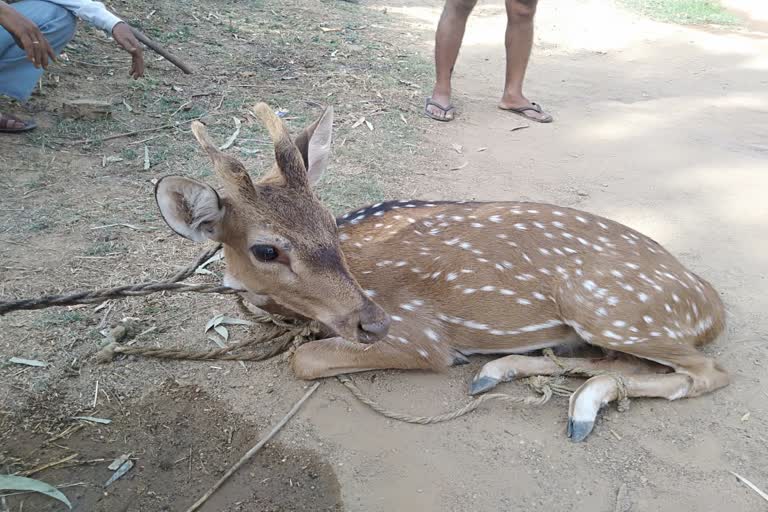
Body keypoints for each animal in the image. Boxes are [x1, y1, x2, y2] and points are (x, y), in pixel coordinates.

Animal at [154, 103, 728, 440]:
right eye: (266, 250)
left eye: (328, 220)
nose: (372, 321)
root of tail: (711, 302)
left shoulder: (420, 335)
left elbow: (305, 358)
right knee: (617, 362)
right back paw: (503, 372)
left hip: (608, 306)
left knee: (707, 373)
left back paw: (580, 405)